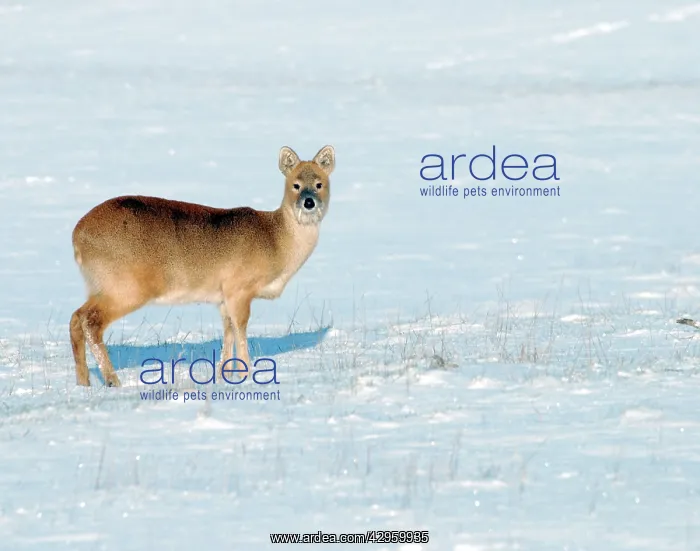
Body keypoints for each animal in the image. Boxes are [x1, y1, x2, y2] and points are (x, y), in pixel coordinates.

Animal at [69, 145, 335, 387]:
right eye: (295, 184)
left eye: (320, 183)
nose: (309, 202)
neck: (275, 240)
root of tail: (77, 235)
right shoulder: (239, 288)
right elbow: (240, 329)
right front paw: (248, 374)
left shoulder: (223, 297)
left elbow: (228, 333)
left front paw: (224, 375)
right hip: (125, 286)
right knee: (90, 322)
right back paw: (112, 380)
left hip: (101, 285)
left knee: (76, 317)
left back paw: (84, 382)